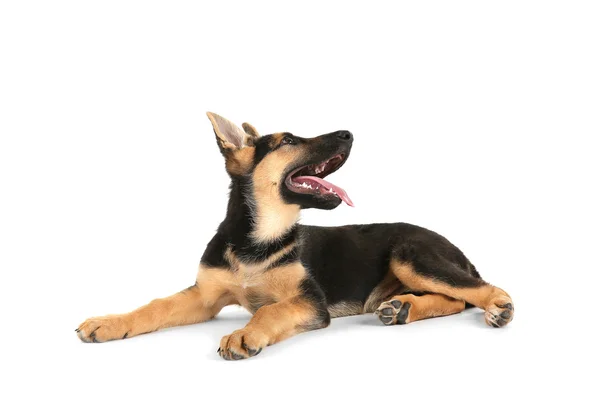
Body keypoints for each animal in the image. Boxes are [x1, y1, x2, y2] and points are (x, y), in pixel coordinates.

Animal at [75, 112, 512, 360]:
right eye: (286, 141)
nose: (347, 133)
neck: (255, 240)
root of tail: (455, 246)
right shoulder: (205, 296)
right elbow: (155, 306)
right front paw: (108, 323)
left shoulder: (309, 300)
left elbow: (269, 311)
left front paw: (245, 333)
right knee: (453, 298)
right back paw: (401, 307)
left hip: (410, 254)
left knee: (479, 289)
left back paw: (497, 307)